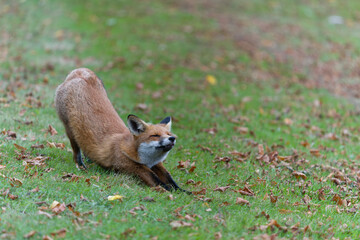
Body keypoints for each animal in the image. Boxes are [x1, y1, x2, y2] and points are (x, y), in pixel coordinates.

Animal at [54, 67, 190, 193]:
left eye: (168, 134)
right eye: (155, 135)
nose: (172, 138)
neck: (146, 160)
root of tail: (81, 72)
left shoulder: (156, 164)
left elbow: (170, 180)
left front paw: (184, 192)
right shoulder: (132, 167)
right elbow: (158, 181)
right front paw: (168, 190)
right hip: (70, 130)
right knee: (76, 150)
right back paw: (81, 165)